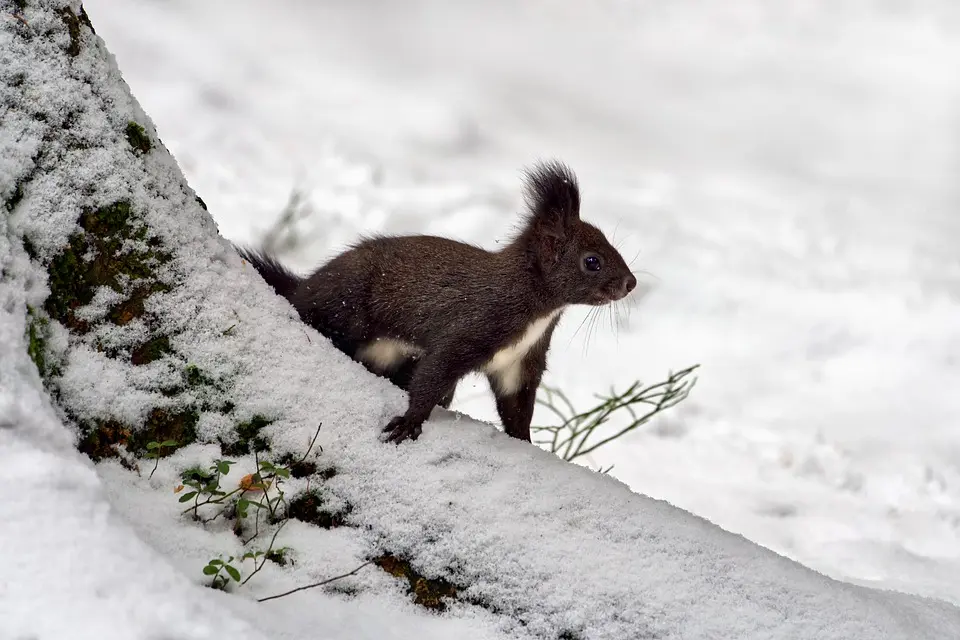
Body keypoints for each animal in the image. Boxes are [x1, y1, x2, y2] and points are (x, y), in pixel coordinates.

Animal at [235, 160, 636, 444]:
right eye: (592, 261)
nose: (630, 284)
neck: (537, 307)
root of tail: (305, 287)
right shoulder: (468, 327)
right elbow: (434, 374)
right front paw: (410, 423)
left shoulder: (518, 362)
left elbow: (517, 407)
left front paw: (526, 441)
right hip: (343, 308)